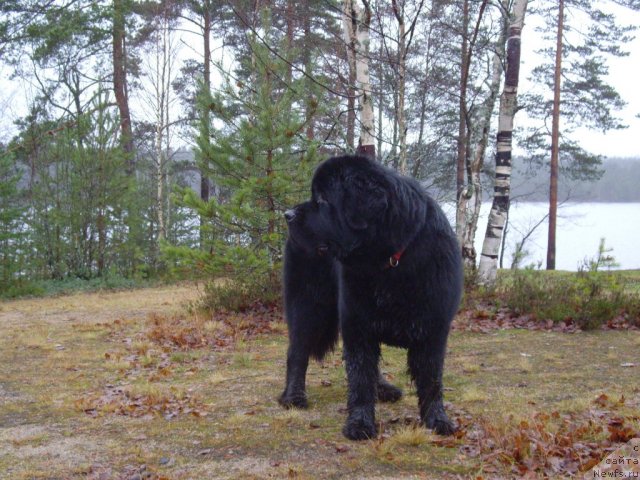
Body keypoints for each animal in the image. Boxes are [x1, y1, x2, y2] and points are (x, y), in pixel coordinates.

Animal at [278, 156, 462, 440]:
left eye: (322, 200)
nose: (288, 214)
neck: (390, 262)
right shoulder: (357, 324)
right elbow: (360, 379)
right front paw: (360, 423)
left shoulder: (434, 330)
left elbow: (431, 380)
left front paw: (437, 420)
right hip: (308, 306)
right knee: (296, 351)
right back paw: (294, 396)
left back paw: (384, 389)